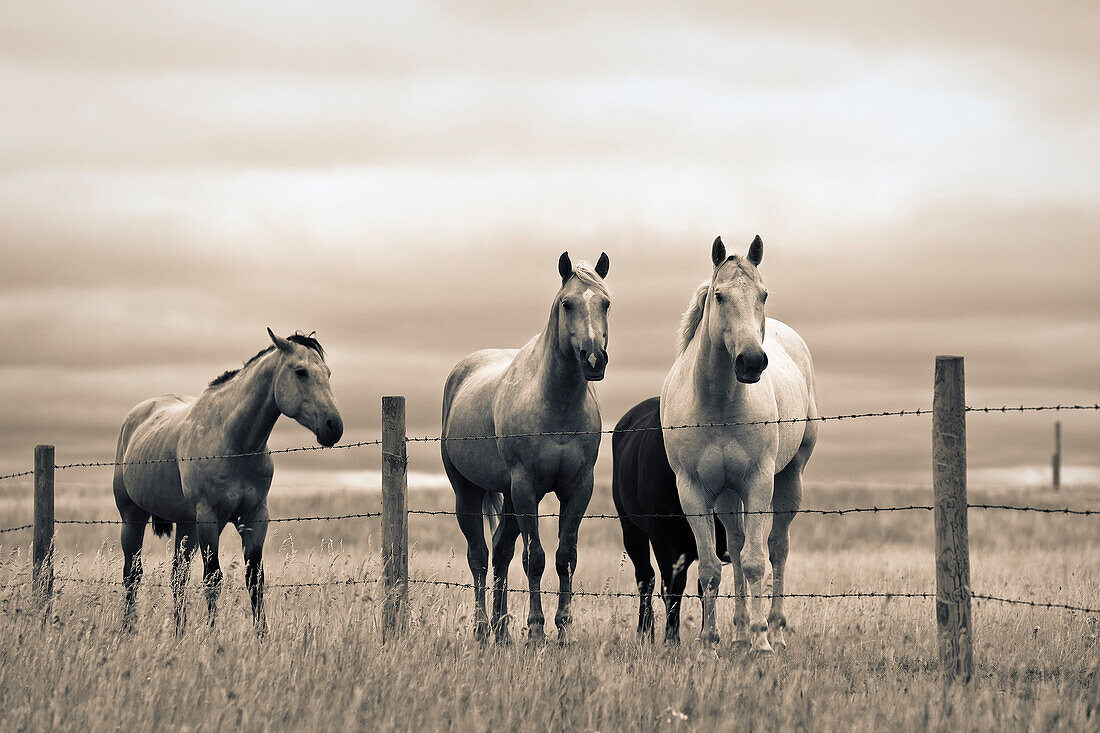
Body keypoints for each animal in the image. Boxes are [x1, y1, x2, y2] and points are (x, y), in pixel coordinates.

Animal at [113, 327, 341, 629]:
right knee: (133, 574)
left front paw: (262, 635)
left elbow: (255, 580)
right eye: (300, 372)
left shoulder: (255, 518)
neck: (234, 442)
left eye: (327, 373)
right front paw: (212, 635)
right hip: (133, 517)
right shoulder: (209, 518)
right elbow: (213, 580)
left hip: (186, 525)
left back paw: (179, 632)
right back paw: (127, 629)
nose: (334, 426)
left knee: (178, 576)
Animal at [440, 250, 611, 638]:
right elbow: (535, 559)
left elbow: (566, 557)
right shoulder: (526, 486)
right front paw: (535, 629)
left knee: (501, 551)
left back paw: (502, 629)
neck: (556, 404)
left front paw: (562, 628)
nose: (593, 358)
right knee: (479, 556)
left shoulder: (578, 488)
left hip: (509, 498)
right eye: (567, 303)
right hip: (469, 492)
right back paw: (482, 628)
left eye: (606, 303)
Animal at [655, 235, 814, 651]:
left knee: (777, 547)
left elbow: (758, 561)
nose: (752, 361)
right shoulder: (694, 491)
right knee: (739, 547)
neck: (719, 403)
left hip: (789, 478)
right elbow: (712, 568)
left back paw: (773, 630)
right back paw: (740, 633)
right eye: (720, 295)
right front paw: (710, 642)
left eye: (763, 294)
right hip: (727, 495)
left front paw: (761, 643)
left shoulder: (758, 481)